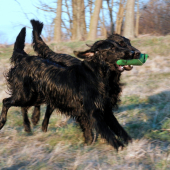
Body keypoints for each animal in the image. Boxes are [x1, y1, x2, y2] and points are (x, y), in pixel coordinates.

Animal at [0, 25, 137, 149]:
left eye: (122, 44)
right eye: (113, 48)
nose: (133, 53)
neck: (98, 75)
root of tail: (24, 58)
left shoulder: (105, 109)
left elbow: (118, 128)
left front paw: (130, 142)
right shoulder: (93, 111)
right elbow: (107, 132)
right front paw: (119, 146)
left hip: (37, 96)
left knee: (26, 107)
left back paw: (31, 124)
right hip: (25, 95)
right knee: (6, 101)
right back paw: (4, 122)